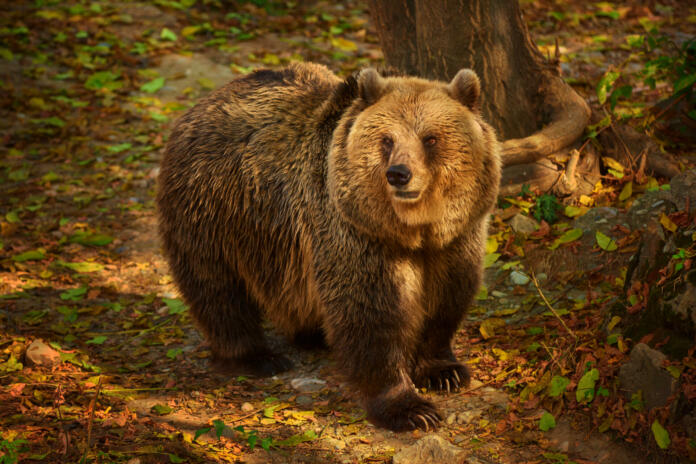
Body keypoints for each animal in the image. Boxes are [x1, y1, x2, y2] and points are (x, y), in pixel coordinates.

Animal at [158, 62, 500, 432]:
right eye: (387, 139)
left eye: (430, 138)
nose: (399, 174)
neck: (413, 230)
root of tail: (203, 102)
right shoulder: (356, 233)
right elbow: (371, 314)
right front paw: (410, 408)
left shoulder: (456, 239)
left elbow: (447, 298)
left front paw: (444, 372)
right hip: (216, 212)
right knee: (218, 291)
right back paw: (257, 357)